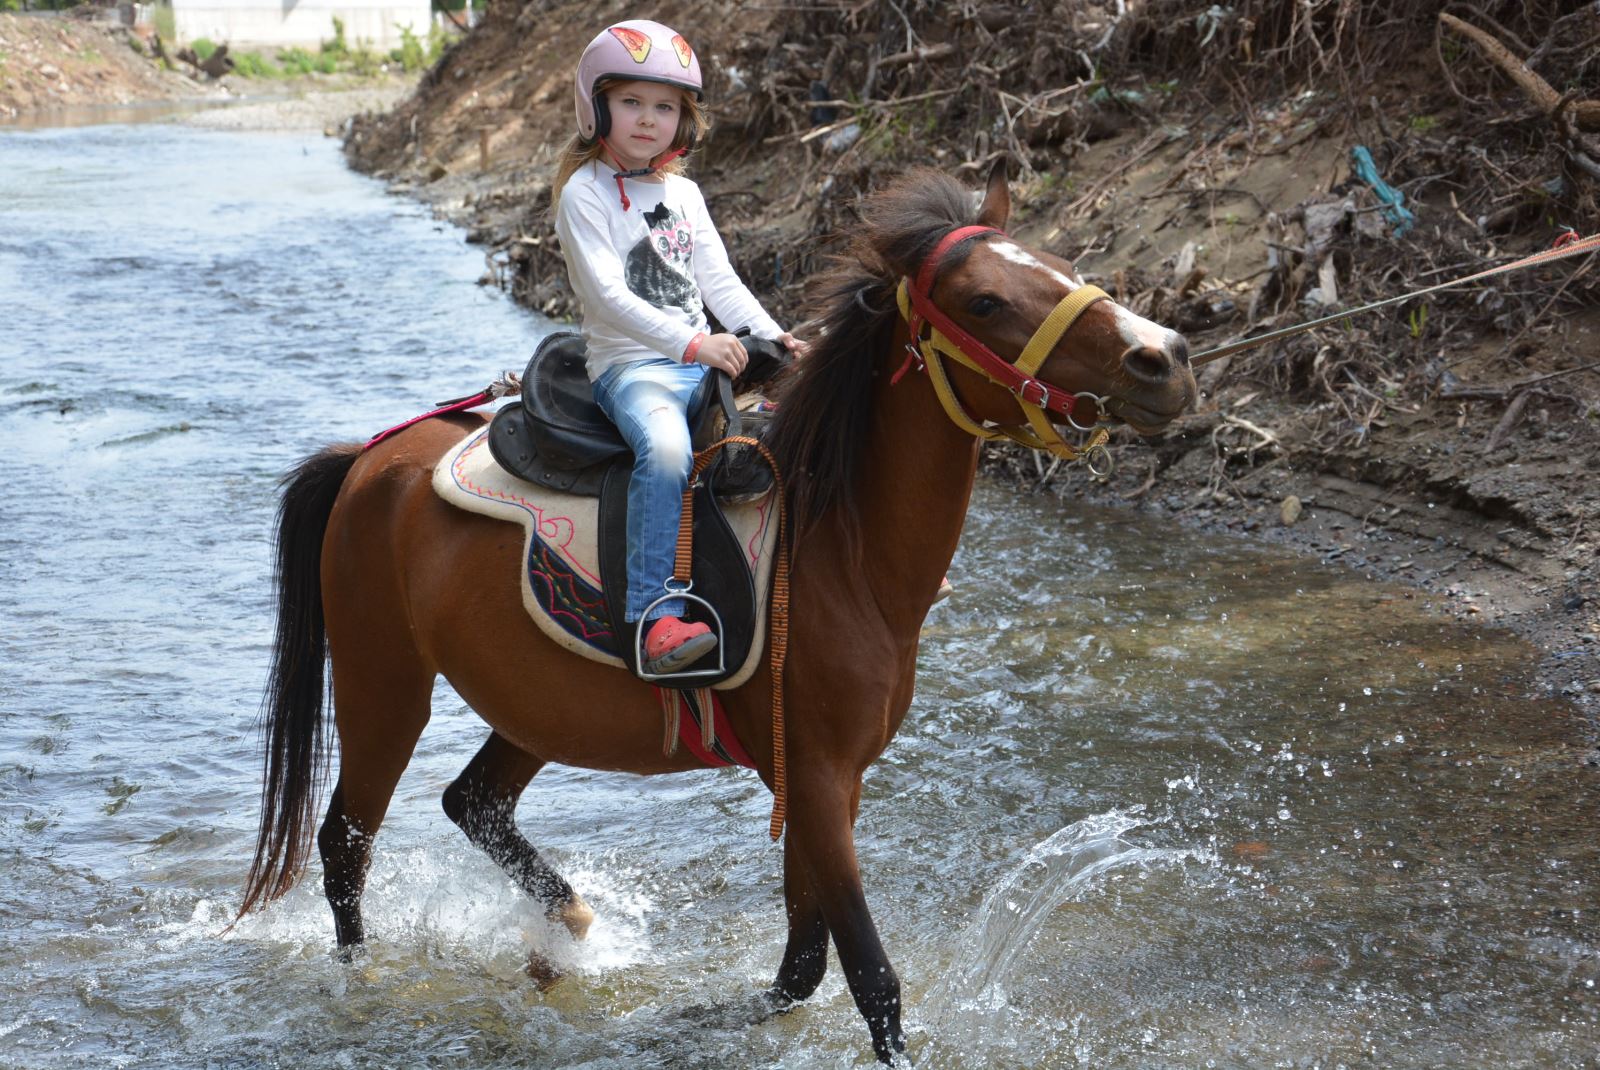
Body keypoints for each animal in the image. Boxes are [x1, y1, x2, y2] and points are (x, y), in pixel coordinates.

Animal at [236, 163, 1190, 1055]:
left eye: (1064, 268)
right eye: (986, 301)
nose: (1166, 358)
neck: (840, 552)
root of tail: (370, 458)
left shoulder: (825, 782)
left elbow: (801, 966)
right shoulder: (815, 775)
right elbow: (871, 978)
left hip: (532, 707)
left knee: (473, 805)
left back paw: (569, 928)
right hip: (383, 683)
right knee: (346, 844)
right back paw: (366, 987)